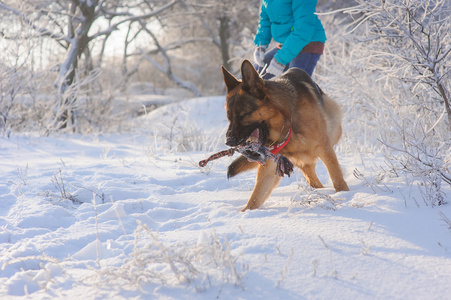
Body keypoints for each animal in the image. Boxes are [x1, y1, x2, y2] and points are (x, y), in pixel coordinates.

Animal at [222, 59, 350, 211]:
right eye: (229, 117)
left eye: (243, 115)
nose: (228, 141)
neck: (287, 122)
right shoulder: (270, 165)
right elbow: (255, 197)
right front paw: (244, 213)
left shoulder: (324, 148)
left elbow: (337, 178)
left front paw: (345, 194)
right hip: (302, 159)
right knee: (311, 177)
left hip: (334, 127)